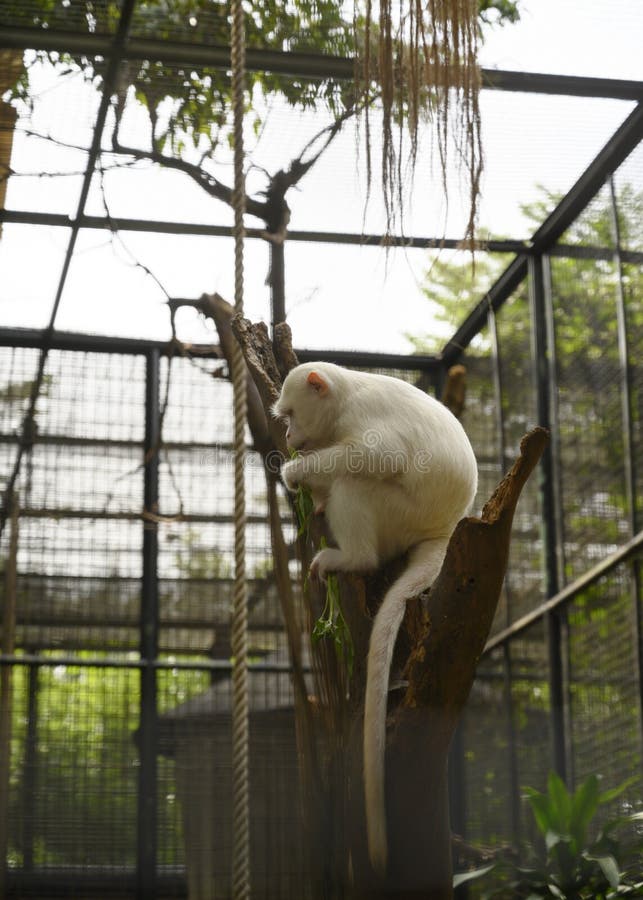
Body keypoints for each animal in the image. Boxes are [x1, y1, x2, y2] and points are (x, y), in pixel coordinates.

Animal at [272, 362, 478, 876]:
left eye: (291, 414)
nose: (289, 433)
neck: (345, 395)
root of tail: (445, 530)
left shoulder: (361, 419)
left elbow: (377, 458)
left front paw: (295, 470)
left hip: (397, 517)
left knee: (359, 480)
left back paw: (354, 558)